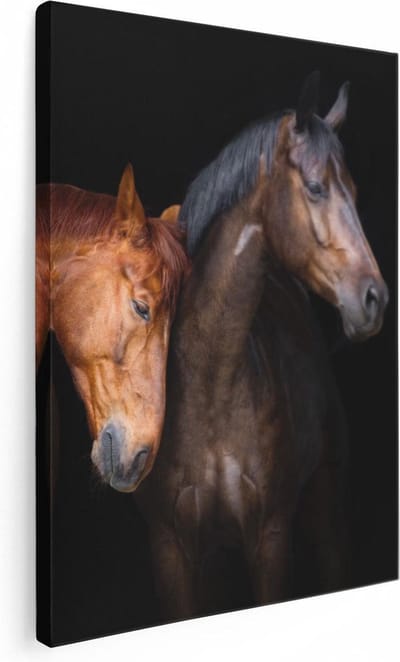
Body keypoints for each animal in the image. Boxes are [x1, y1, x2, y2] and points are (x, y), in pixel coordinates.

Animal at [136, 73, 389, 619]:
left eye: (355, 192)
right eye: (315, 187)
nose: (374, 299)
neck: (212, 383)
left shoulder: (270, 540)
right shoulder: (171, 550)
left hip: (326, 512)